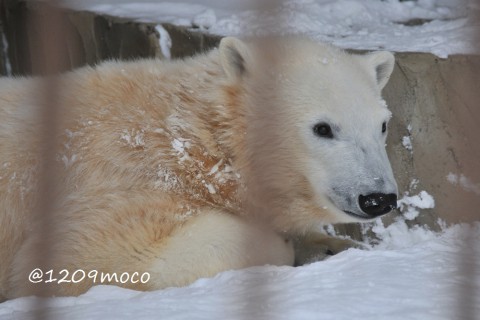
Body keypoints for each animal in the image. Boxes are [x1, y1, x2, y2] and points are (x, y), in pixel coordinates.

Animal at [0, 36, 398, 298]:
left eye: (382, 125)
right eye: (323, 128)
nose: (378, 198)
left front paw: (331, 244)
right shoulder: (118, 177)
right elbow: (85, 258)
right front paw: (286, 248)